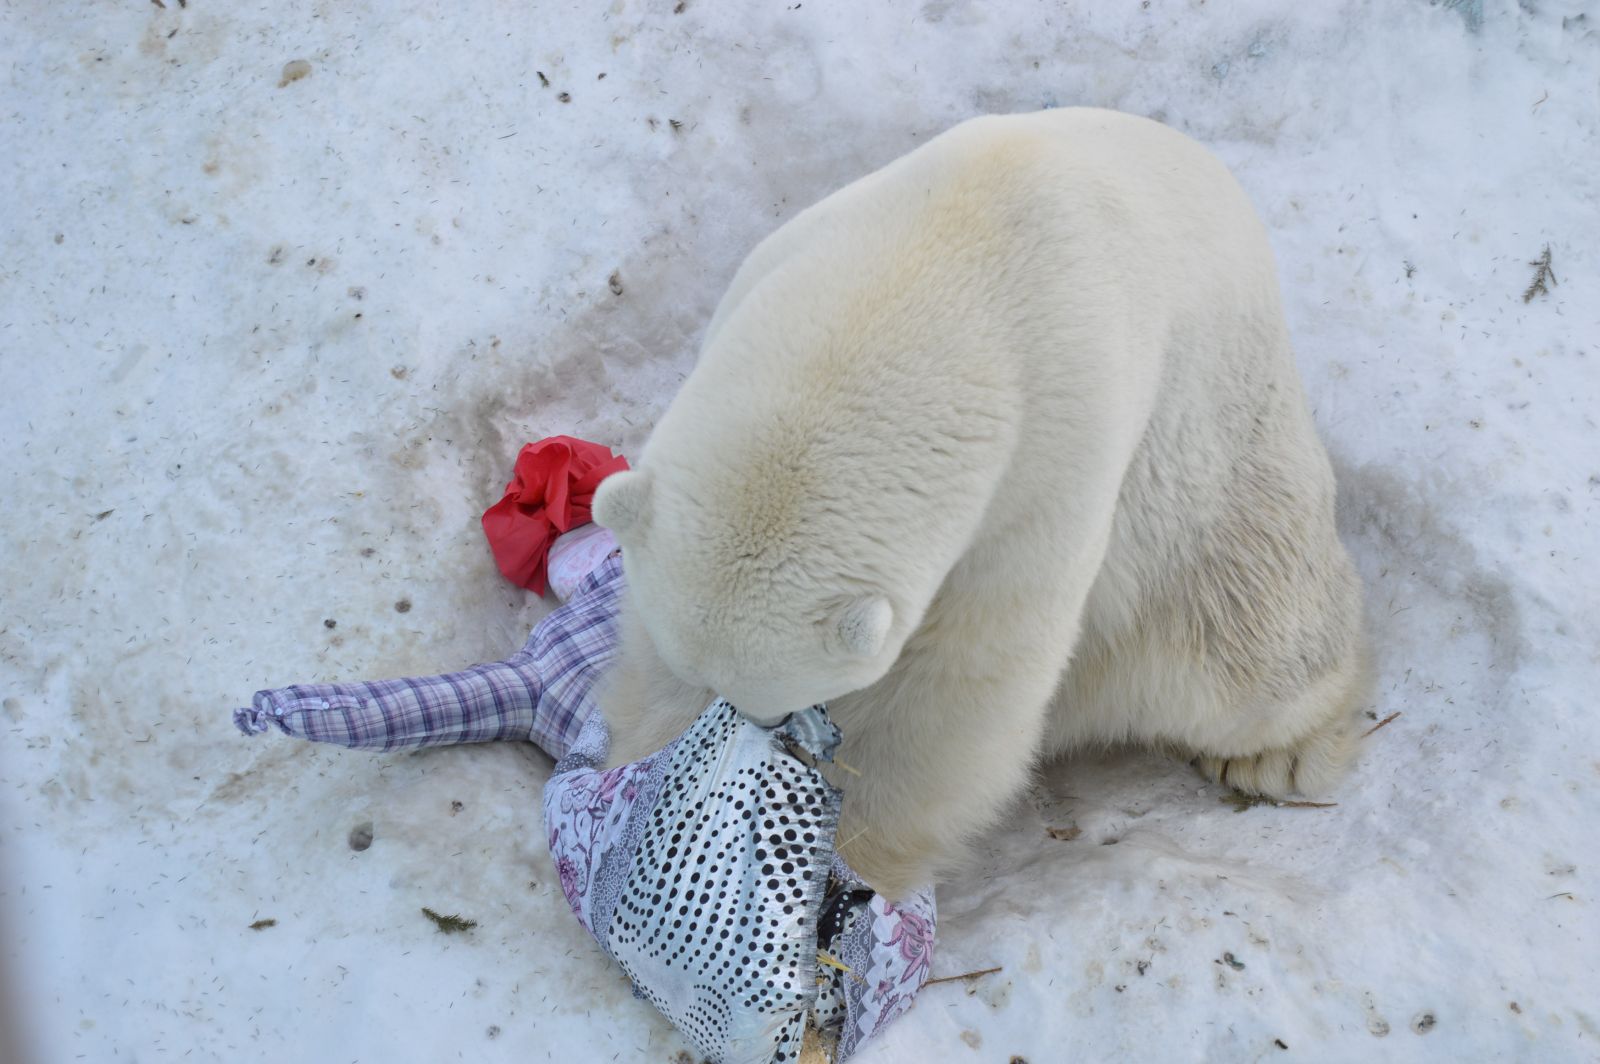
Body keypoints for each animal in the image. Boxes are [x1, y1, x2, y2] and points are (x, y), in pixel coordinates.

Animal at [595, 108, 1369, 896]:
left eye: (778, 695)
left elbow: (963, 678)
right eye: (705, 679)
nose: (759, 725)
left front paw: (852, 861)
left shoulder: (1051, 453)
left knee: (1243, 645)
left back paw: (1276, 755)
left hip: (1221, 474)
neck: (926, 279)